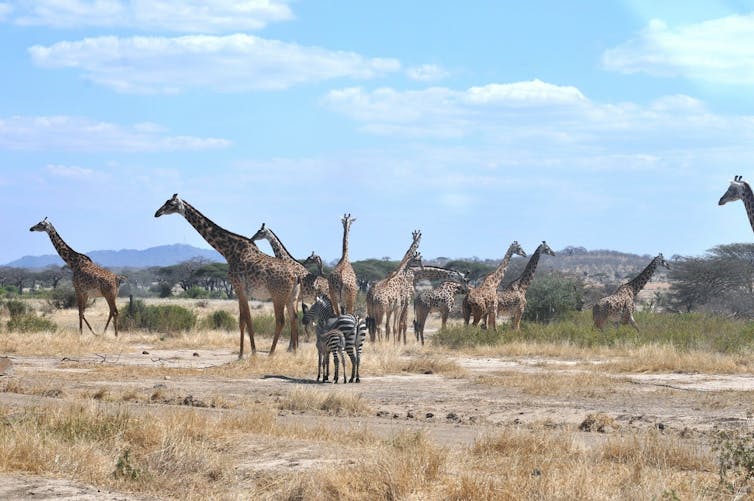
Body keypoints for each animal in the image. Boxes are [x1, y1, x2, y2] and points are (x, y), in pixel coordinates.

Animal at [154, 194, 301, 357]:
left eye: (171, 204)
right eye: (165, 202)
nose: (157, 213)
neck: (228, 251)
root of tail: (296, 276)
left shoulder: (238, 287)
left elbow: (246, 319)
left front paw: (251, 353)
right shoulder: (240, 290)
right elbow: (242, 320)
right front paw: (242, 353)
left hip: (278, 295)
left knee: (281, 320)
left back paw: (271, 353)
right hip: (291, 297)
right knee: (294, 318)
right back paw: (294, 352)